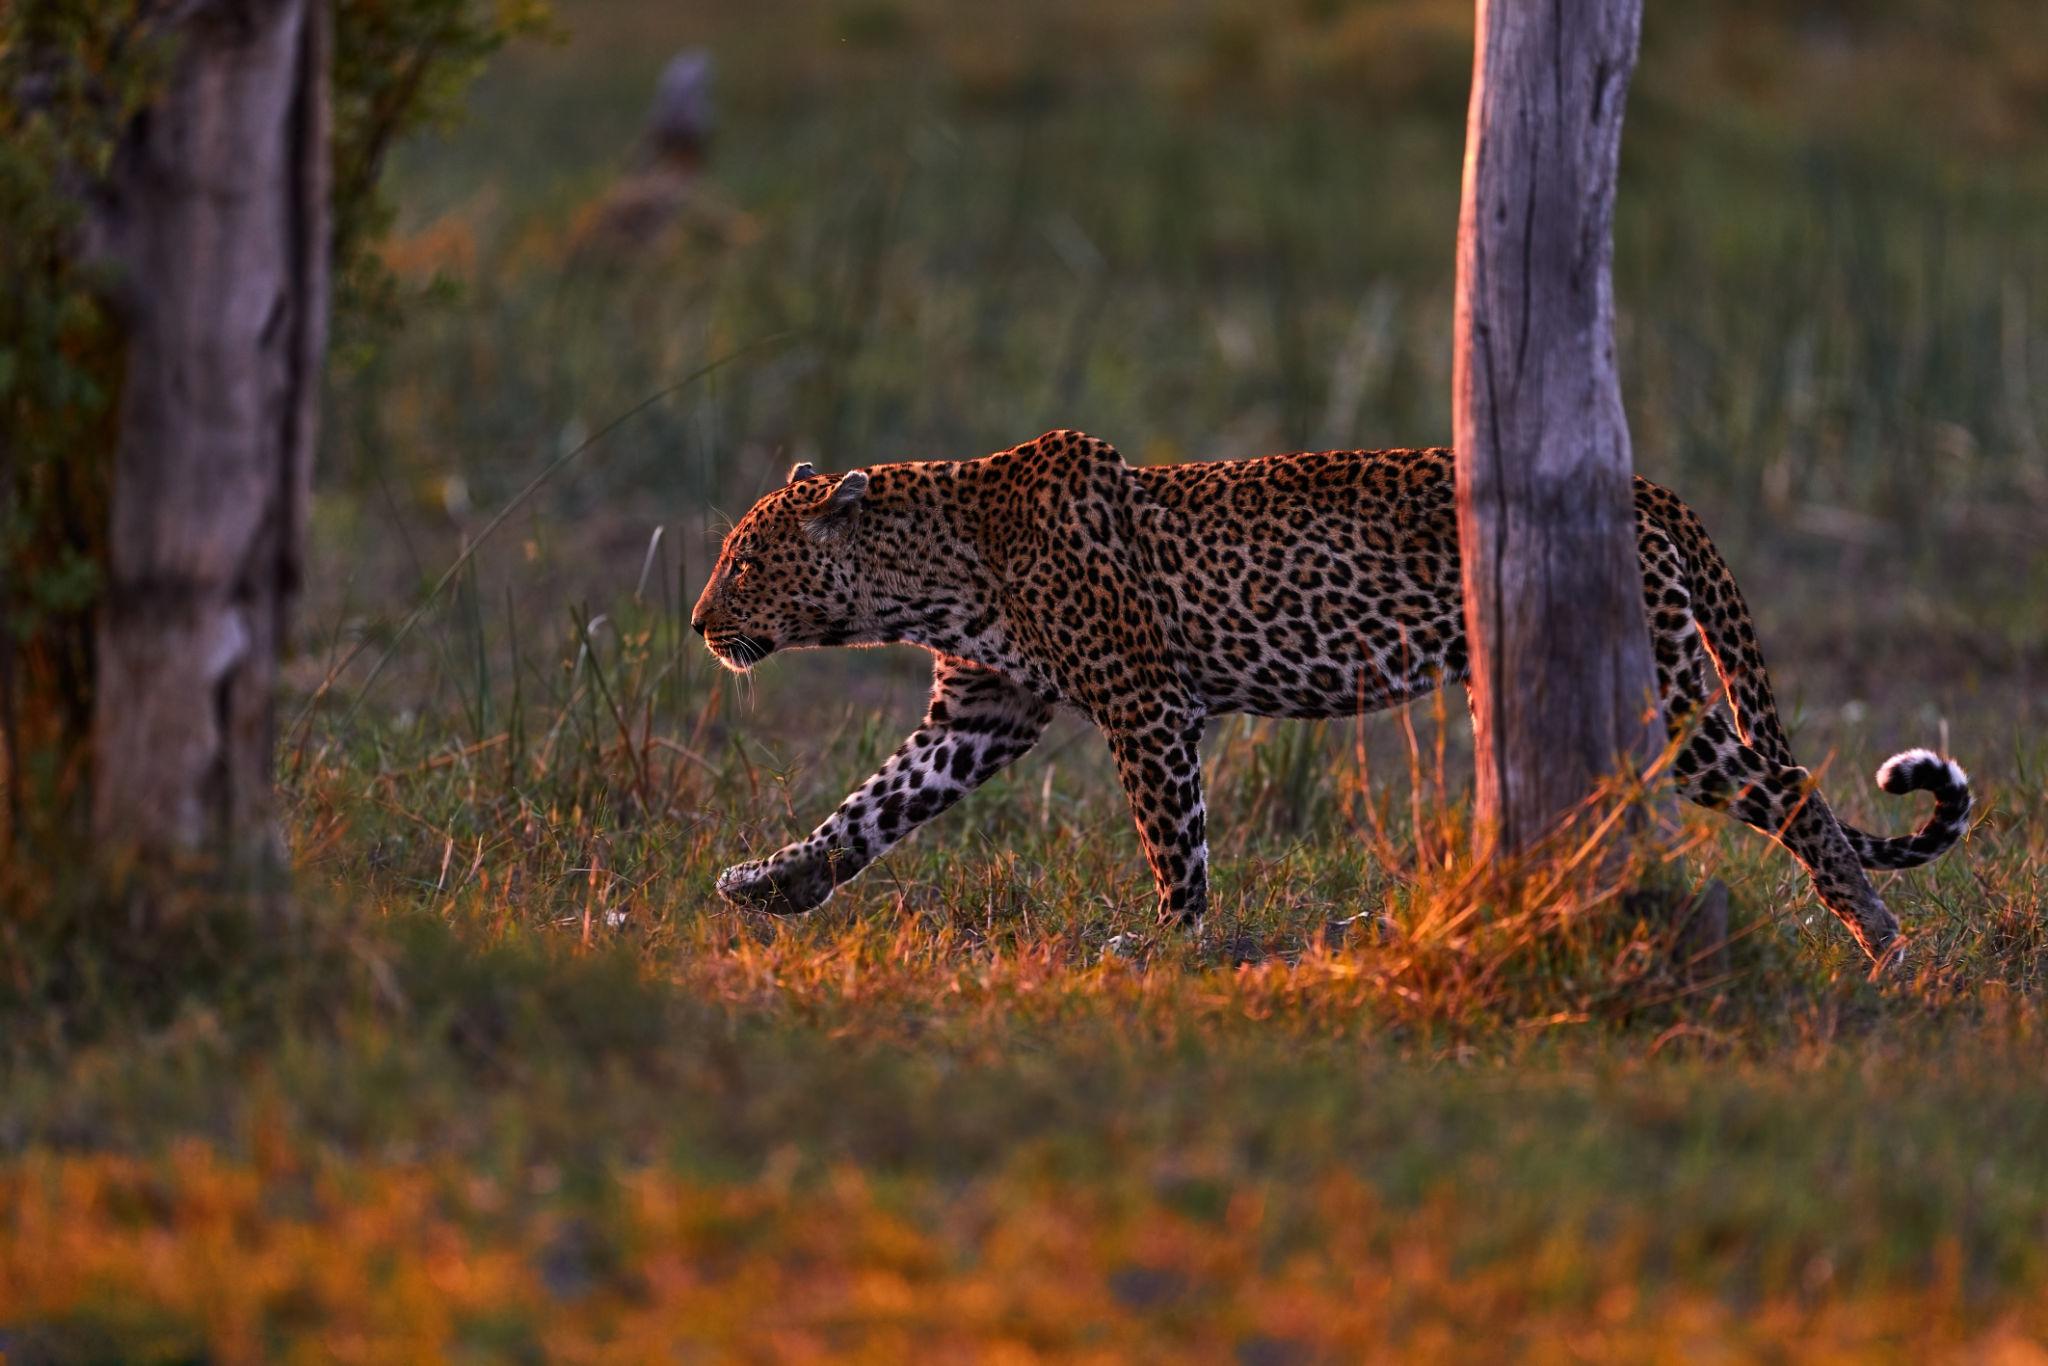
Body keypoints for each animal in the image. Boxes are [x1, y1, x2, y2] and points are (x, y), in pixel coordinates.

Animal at [691, 429, 1971, 962]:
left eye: (745, 562)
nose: (699, 622)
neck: (935, 567)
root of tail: (1644, 483)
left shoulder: (1146, 707)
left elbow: (1174, 842)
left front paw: (1167, 946)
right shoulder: (979, 709)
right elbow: (866, 808)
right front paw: (770, 885)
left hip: (1672, 700)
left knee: (1794, 788)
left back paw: (1876, 934)